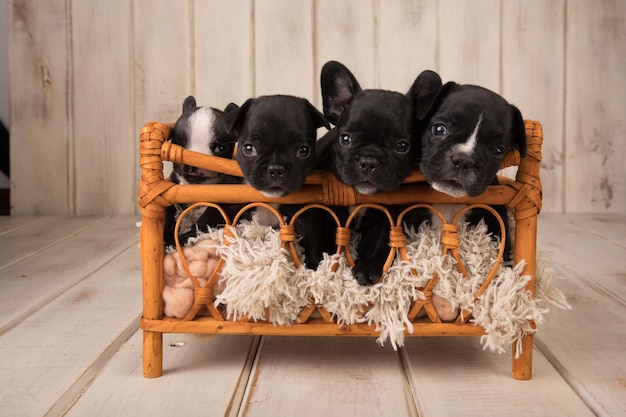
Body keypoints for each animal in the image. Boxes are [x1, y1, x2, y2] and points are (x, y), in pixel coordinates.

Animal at [162, 95, 238, 247]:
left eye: (220, 148)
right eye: (179, 142)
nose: (194, 160)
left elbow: (204, 221)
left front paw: (181, 238)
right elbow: (169, 213)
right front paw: (167, 235)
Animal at [314, 60, 442, 284]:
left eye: (402, 146)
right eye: (345, 139)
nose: (368, 161)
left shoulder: (394, 212)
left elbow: (386, 239)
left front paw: (371, 266)